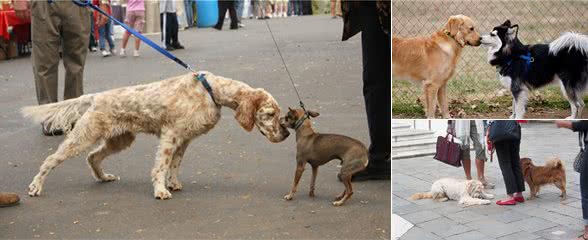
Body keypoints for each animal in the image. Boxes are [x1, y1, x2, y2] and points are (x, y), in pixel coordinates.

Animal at [22, 70, 290, 200]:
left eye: (279, 114)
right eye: (270, 114)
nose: (286, 134)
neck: (211, 91)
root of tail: (96, 96)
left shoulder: (184, 139)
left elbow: (175, 165)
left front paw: (173, 183)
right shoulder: (170, 135)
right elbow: (161, 166)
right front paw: (161, 190)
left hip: (121, 139)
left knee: (93, 157)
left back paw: (104, 177)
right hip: (84, 136)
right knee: (50, 160)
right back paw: (36, 186)